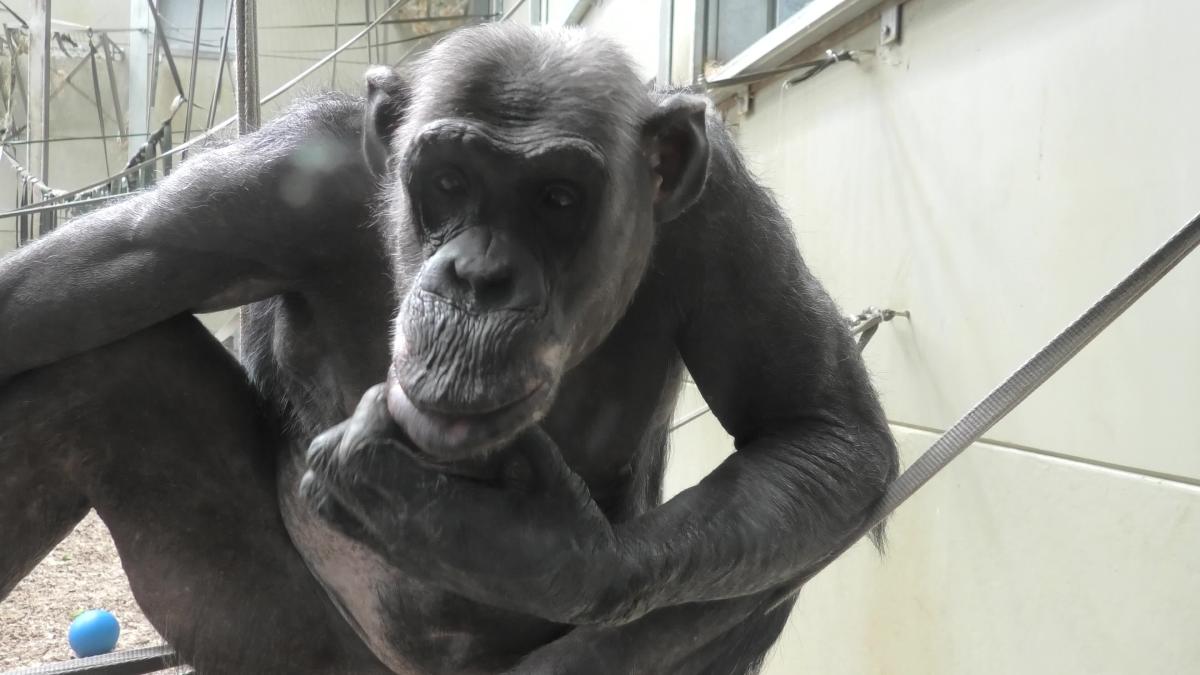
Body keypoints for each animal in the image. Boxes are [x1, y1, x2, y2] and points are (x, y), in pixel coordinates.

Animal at [0, 23, 897, 667]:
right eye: (449, 183)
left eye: (557, 198)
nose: (478, 276)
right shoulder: (275, 181)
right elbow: (51, 298)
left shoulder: (724, 215)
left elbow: (820, 429)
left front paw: (528, 549)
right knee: (108, 379)